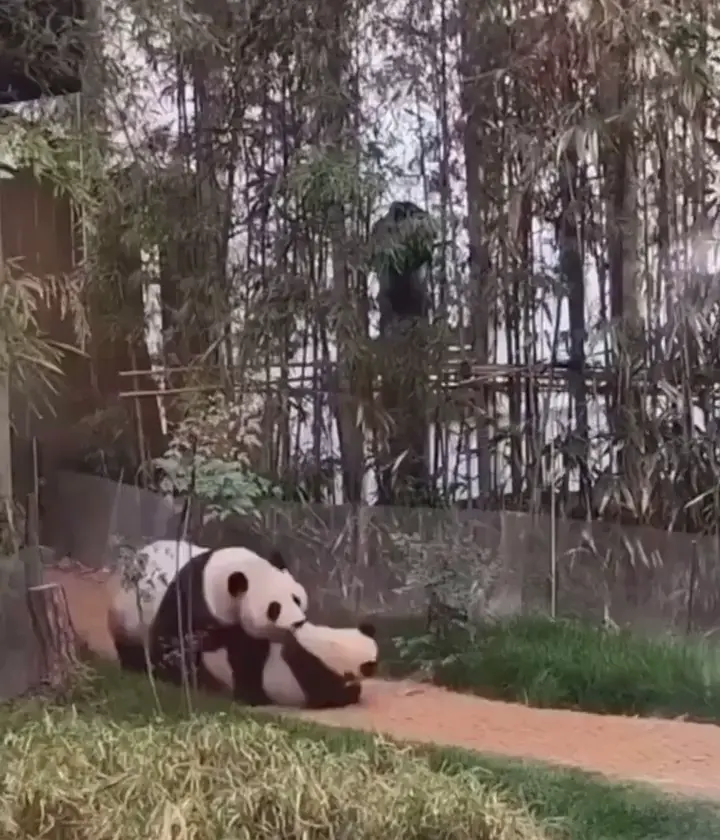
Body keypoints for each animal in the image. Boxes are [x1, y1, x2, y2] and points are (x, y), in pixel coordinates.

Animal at [107, 538, 309, 698]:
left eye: (296, 599)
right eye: (274, 608)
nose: (297, 623)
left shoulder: (237, 623)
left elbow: (248, 656)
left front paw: (252, 695)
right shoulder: (188, 598)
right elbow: (172, 641)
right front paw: (179, 682)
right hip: (128, 613)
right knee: (133, 647)